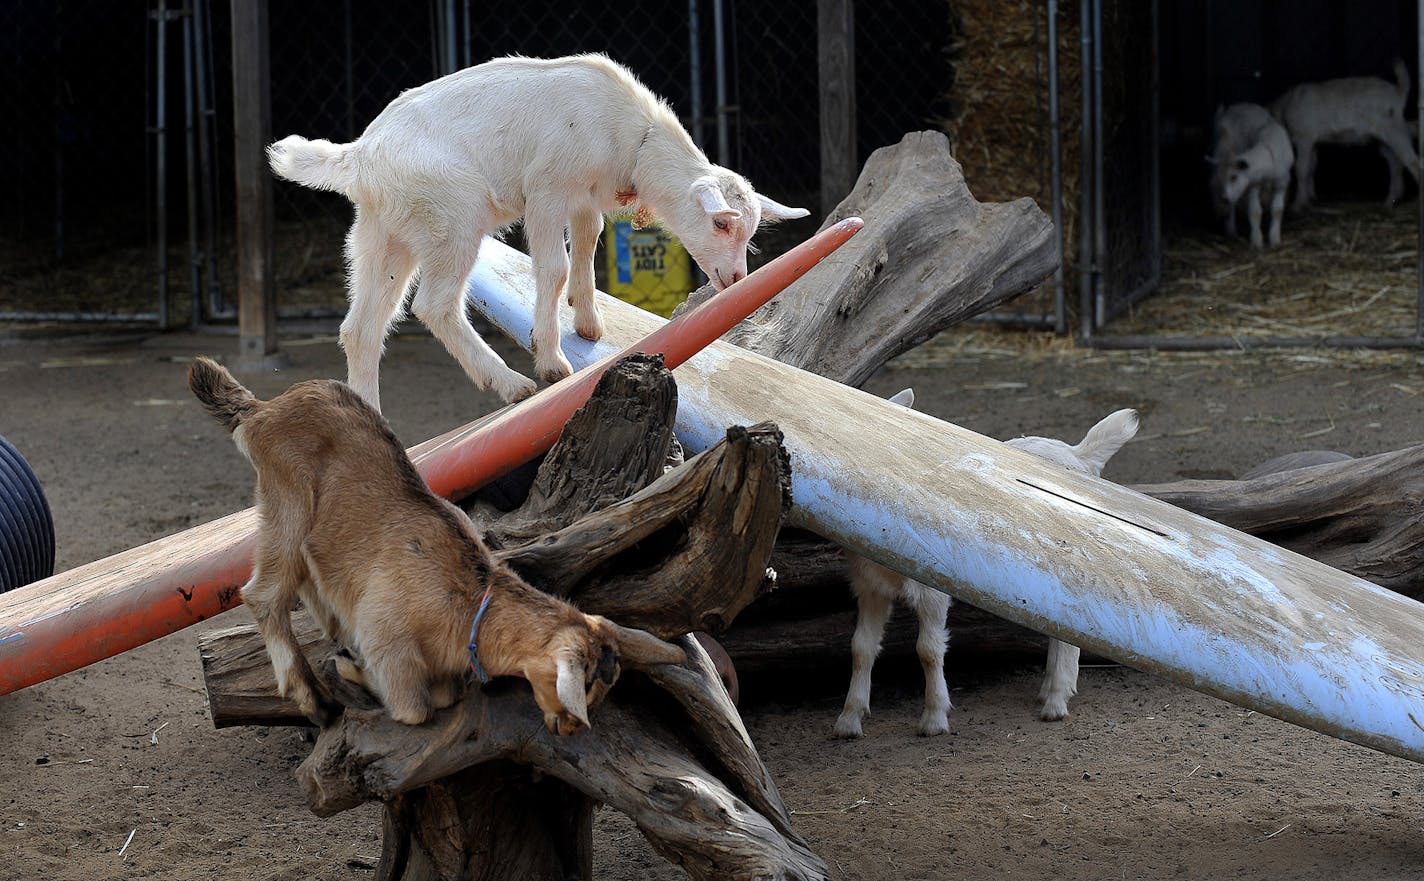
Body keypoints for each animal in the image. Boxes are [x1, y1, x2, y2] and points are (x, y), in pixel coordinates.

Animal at [267, 53, 803, 412]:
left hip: (381, 236)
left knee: (360, 328)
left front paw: (587, 321)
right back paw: (511, 384)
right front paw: (552, 360)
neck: (633, 138)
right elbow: (555, 267)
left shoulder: (585, 196)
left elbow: (588, 244)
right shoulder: (547, 190)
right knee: (434, 305)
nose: (735, 279)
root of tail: (359, 156)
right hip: (452, 220)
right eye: (720, 222)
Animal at [831, 392, 1139, 740]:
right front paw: (849, 721)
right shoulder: (869, 587)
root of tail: (1078, 455)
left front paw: (935, 719)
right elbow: (861, 649)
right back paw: (1049, 691)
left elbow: (928, 650)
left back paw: (1056, 701)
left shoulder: (931, 588)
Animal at [1207, 101, 1298, 250]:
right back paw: (1231, 229)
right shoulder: (1253, 184)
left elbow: (1277, 210)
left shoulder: (1282, 183)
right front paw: (1256, 240)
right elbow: (1255, 212)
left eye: (1234, 177)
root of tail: (1235, 106)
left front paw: (1274, 239)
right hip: (1224, 145)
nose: (1224, 198)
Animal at [1275, 57, 1418, 210]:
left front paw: (1298, 204)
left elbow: (1301, 168)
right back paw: (1390, 200)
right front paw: (1310, 197)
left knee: (1411, 160)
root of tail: (1398, 92)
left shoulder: (1304, 137)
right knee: (1395, 163)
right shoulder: (1313, 141)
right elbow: (1311, 167)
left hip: (1394, 130)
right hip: (1384, 138)